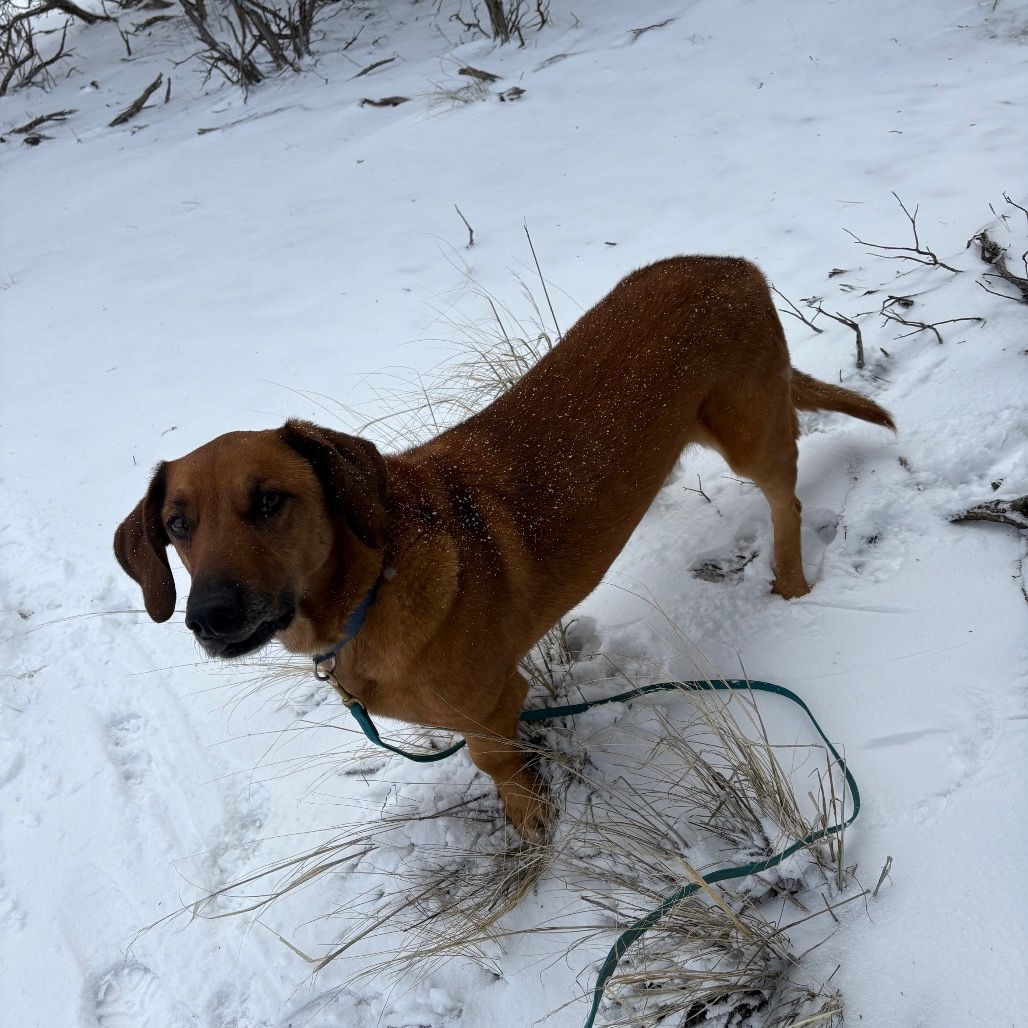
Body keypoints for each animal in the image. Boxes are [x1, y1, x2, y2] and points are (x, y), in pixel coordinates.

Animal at [114, 256, 894, 840]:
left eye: (270, 501)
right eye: (177, 525)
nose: (210, 617)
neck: (372, 584)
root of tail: (734, 265)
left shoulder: (492, 704)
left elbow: (499, 770)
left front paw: (533, 833)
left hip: (748, 432)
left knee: (786, 500)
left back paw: (790, 581)